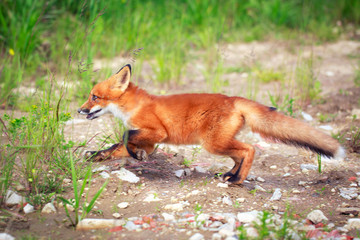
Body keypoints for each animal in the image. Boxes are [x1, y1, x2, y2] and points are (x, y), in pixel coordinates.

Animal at [79, 63, 346, 184]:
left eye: (94, 97)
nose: (80, 110)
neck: (136, 106)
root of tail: (233, 99)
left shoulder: (156, 132)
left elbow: (125, 137)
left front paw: (136, 156)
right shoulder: (151, 140)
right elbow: (116, 146)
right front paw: (98, 156)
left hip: (213, 144)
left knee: (249, 150)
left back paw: (237, 181)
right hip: (219, 142)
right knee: (240, 155)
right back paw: (230, 175)